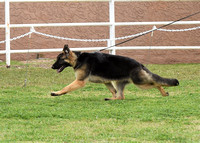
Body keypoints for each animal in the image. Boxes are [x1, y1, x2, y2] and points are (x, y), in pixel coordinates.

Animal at [50, 44, 179, 100]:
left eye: (59, 59)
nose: (52, 66)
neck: (78, 59)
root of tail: (139, 64)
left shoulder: (79, 81)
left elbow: (66, 87)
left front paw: (57, 93)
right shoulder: (106, 82)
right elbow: (113, 91)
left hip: (140, 82)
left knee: (156, 83)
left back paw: (163, 93)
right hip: (120, 82)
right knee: (121, 96)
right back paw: (111, 99)